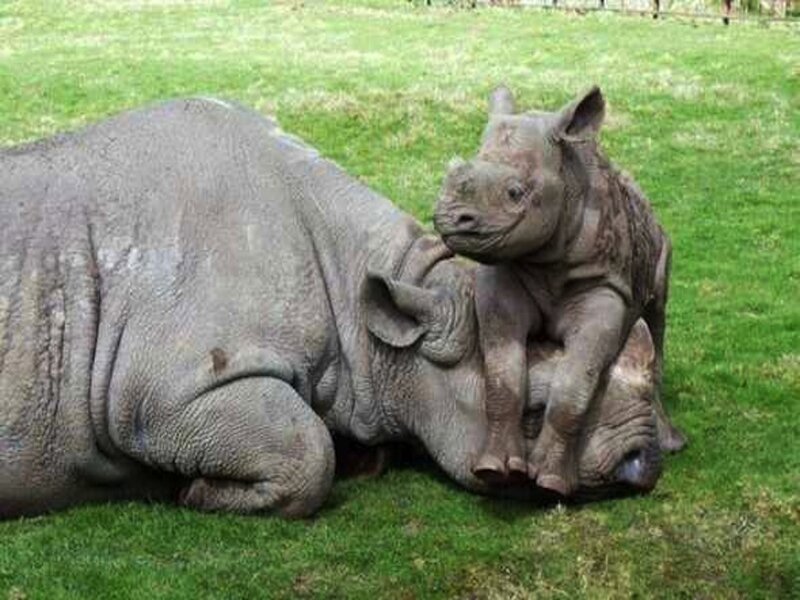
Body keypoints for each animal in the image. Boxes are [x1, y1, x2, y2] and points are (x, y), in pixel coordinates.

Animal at [434, 86, 686, 496]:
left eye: (515, 193)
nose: (450, 219)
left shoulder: (603, 287)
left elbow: (573, 384)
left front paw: (551, 482)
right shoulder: (504, 277)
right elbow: (502, 378)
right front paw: (493, 468)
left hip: (661, 243)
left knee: (656, 316)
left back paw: (672, 443)